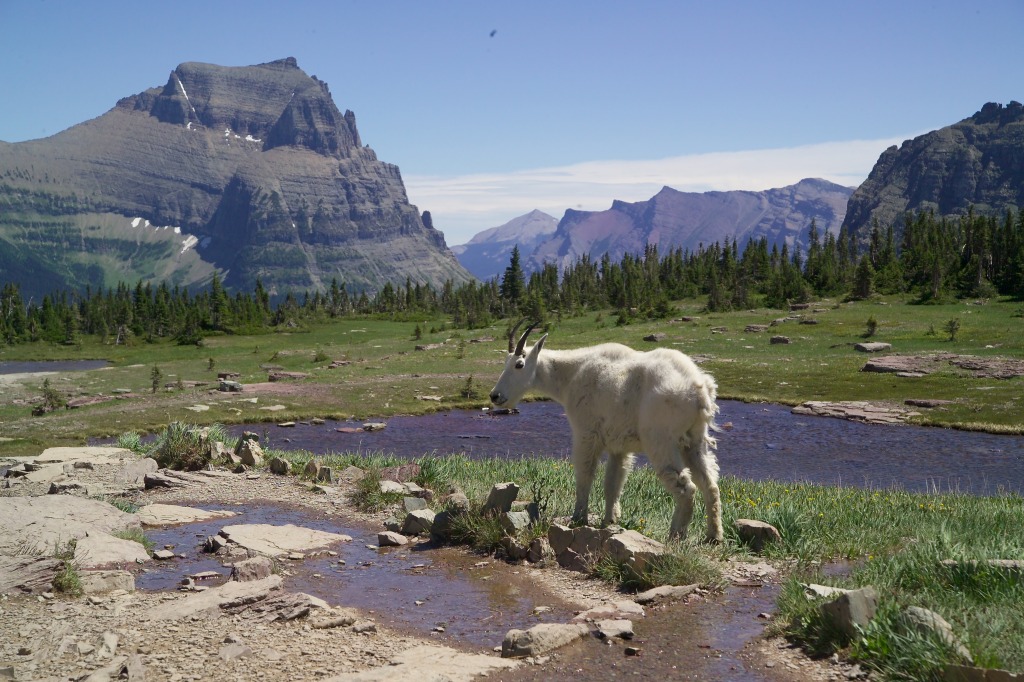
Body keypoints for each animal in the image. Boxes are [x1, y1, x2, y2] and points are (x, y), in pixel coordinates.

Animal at [489, 319, 724, 540]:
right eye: (506, 362)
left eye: (519, 364)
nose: (495, 396)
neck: (570, 375)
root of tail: (700, 390)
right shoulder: (618, 447)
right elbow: (613, 484)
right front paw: (609, 520)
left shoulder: (585, 433)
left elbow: (584, 476)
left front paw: (578, 518)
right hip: (695, 440)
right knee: (710, 484)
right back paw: (713, 536)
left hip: (661, 440)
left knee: (686, 487)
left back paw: (675, 534)